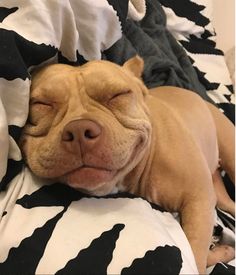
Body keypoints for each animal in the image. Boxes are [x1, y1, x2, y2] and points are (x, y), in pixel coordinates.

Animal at [20, 56, 234, 274]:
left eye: (118, 94)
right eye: (40, 104)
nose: (79, 130)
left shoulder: (199, 200)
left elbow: (195, 253)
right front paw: (222, 251)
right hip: (219, 192)